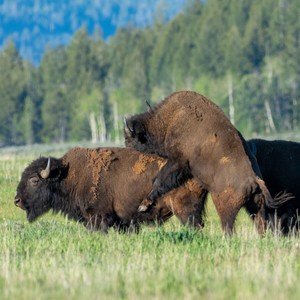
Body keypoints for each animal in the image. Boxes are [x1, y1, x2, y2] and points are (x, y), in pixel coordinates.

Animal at [124, 90, 288, 236]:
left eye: (131, 139)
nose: (126, 149)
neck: (169, 119)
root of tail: (254, 179)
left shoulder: (178, 161)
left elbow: (159, 180)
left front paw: (143, 205)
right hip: (255, 207)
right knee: (260, 225)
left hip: (225, 207)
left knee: (229, 227)